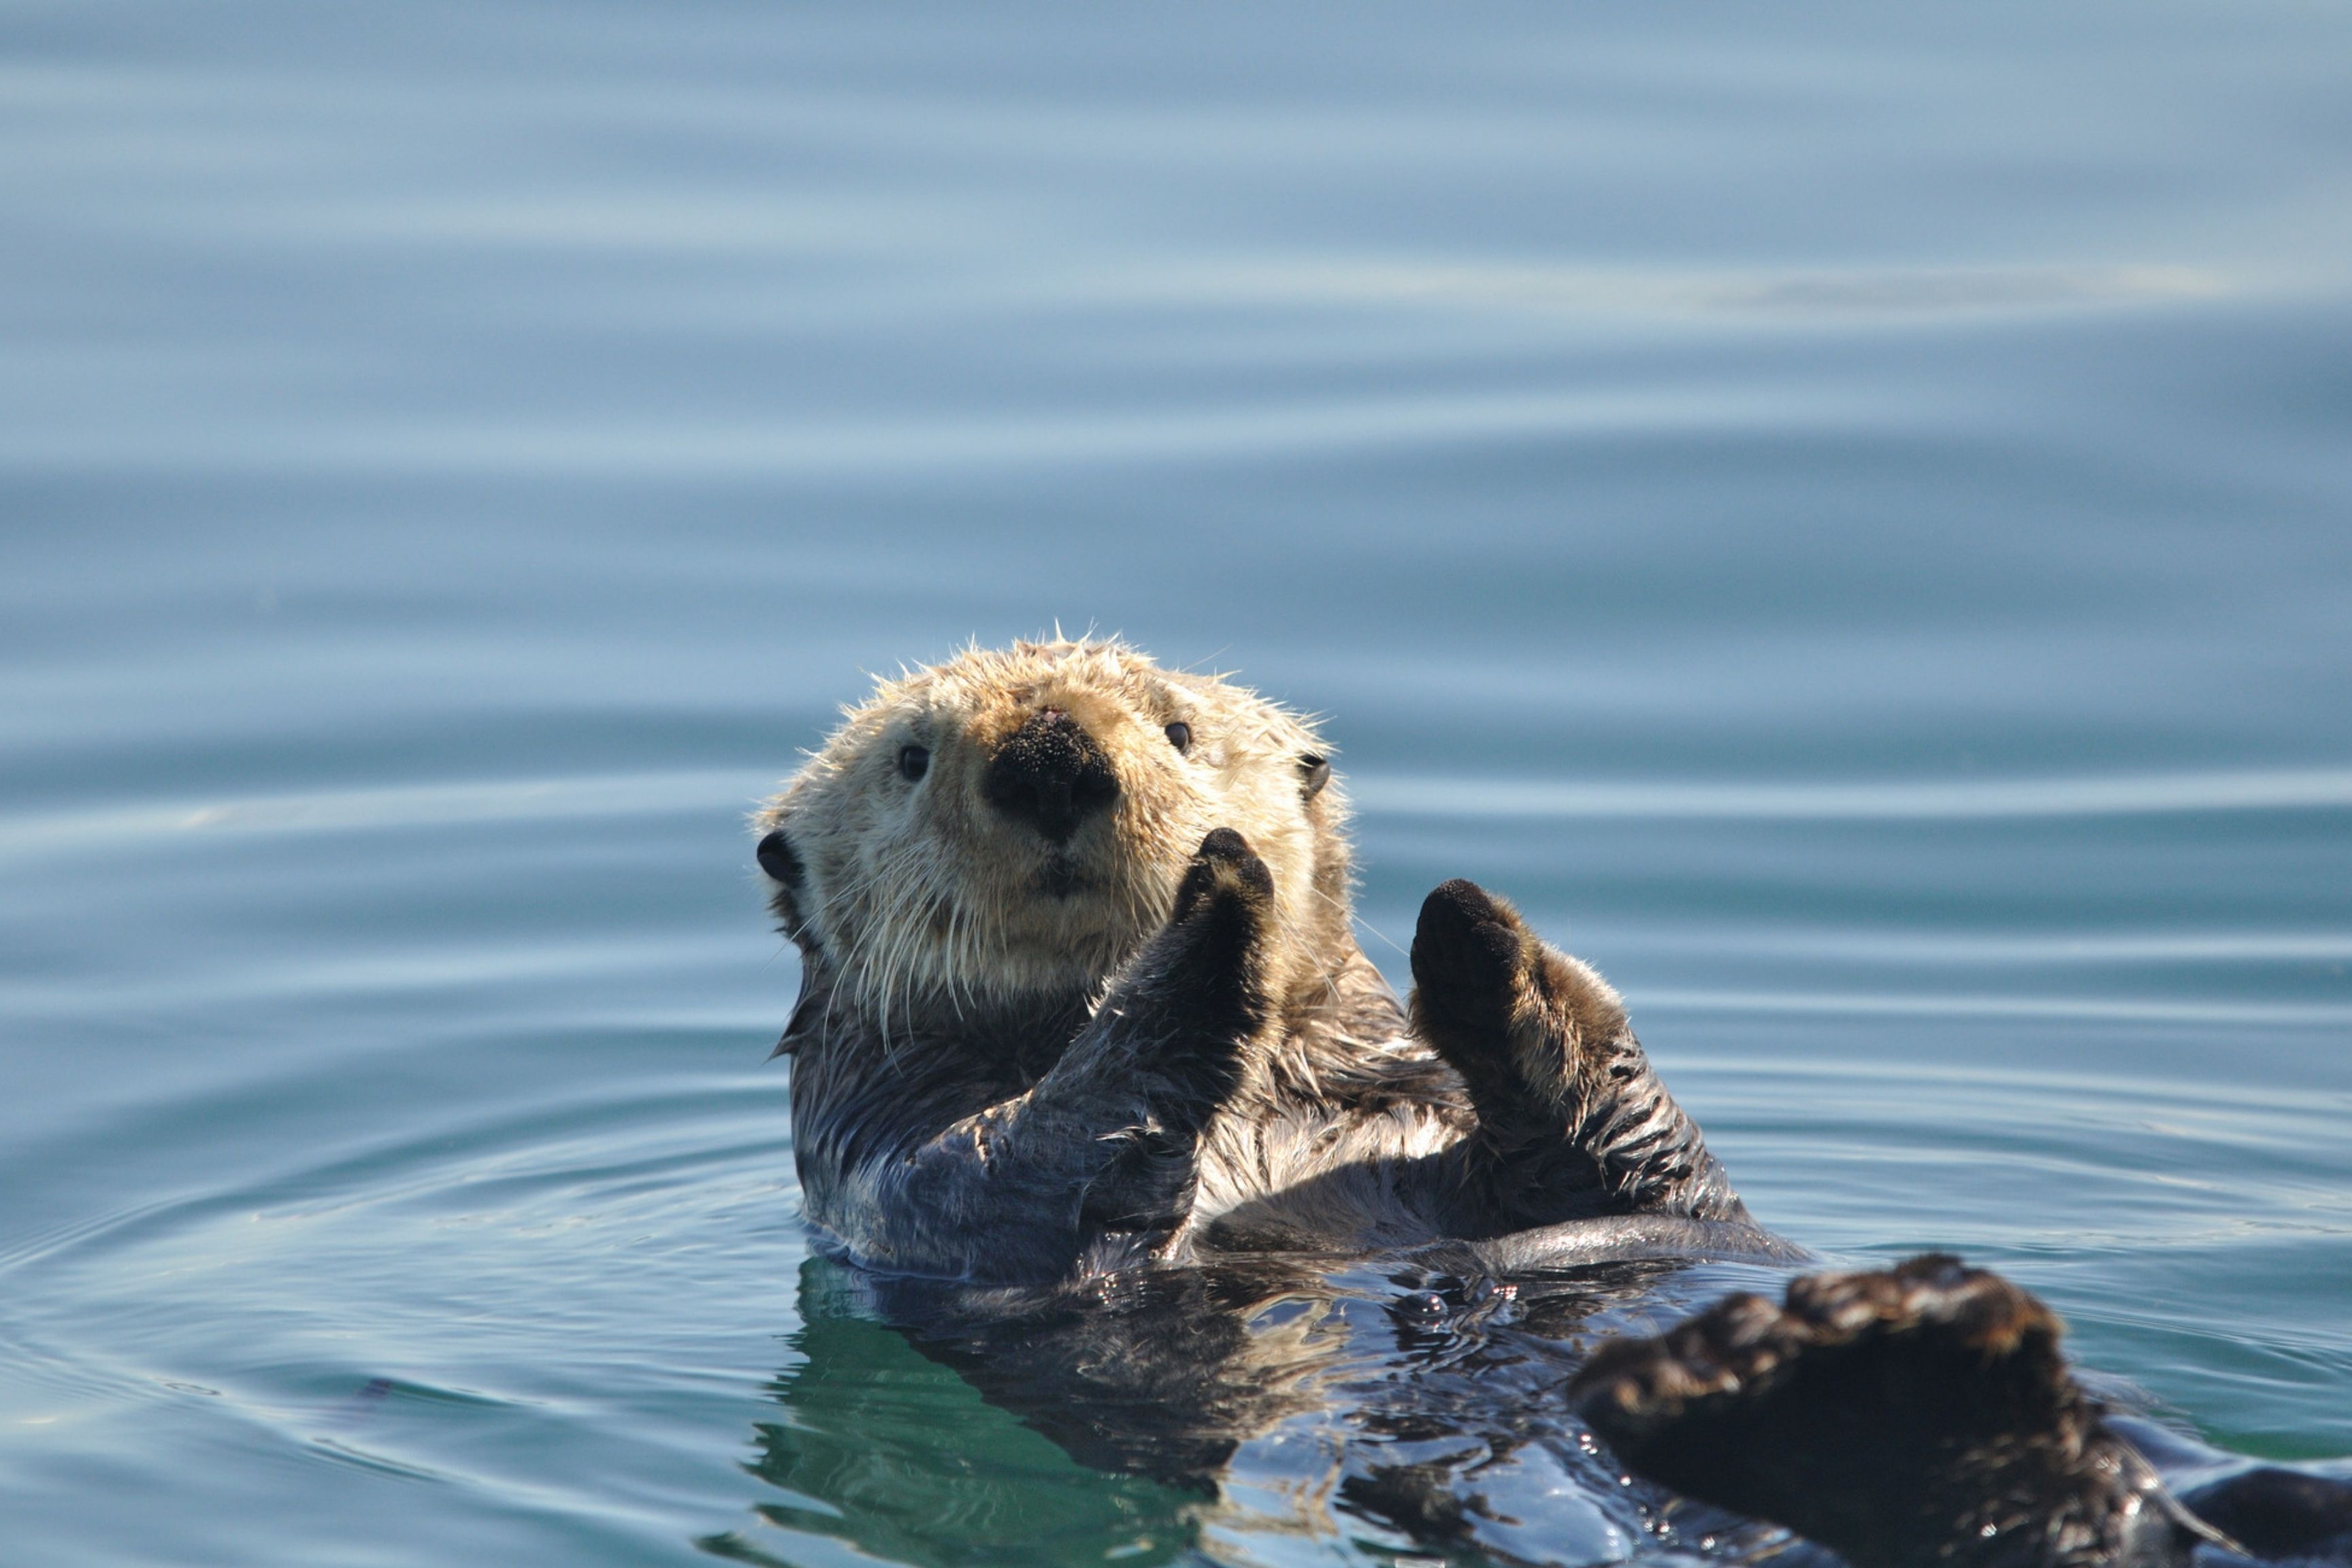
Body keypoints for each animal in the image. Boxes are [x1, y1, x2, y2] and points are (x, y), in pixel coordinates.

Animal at [753, 637, 1789, 1283]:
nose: (1048, 759)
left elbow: (1639, 1153)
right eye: (910, 759)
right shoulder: (902, 1176)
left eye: (1179, 732)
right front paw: (1220, 900)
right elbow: (1035, 1152)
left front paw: (1475, 939)